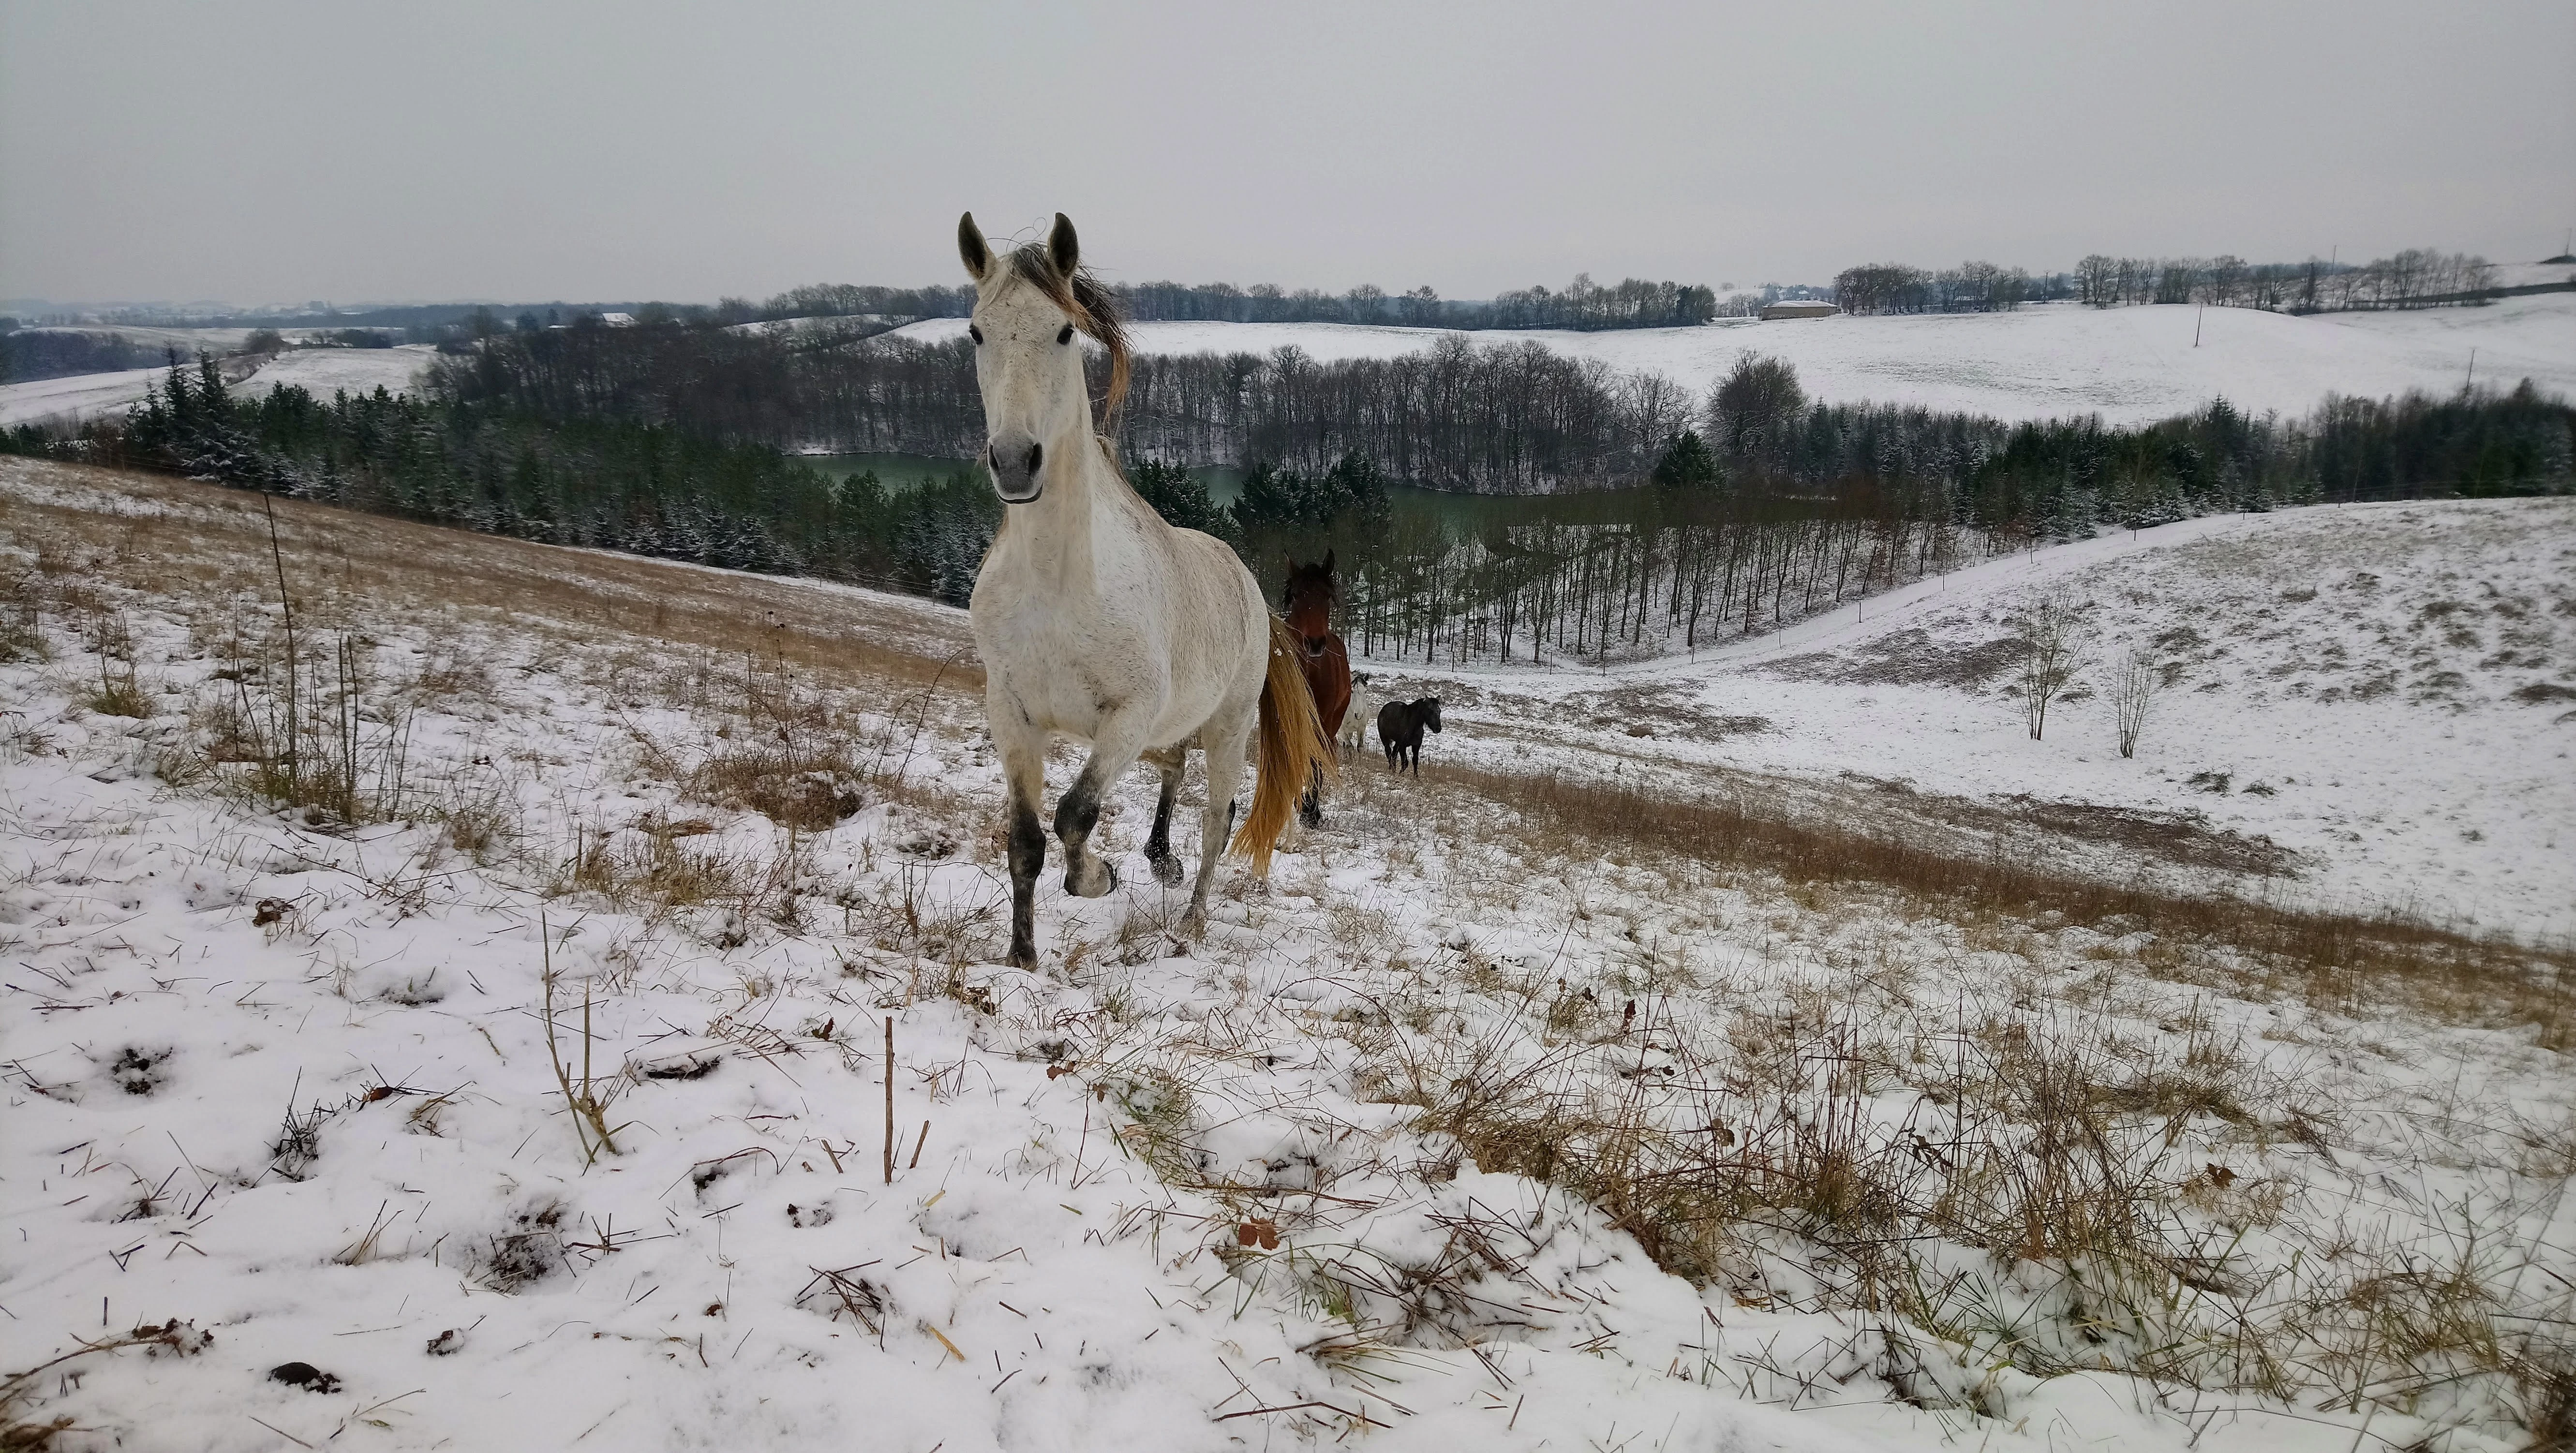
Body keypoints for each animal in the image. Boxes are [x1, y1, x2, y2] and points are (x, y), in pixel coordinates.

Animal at [957, 211, 1338, 969]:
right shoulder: (1012, 715)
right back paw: (1162, 861)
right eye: (978, 332)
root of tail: (1250, 587)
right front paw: (1021, 959)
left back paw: (1190, 920)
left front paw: (1099, 878)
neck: (1059, 584)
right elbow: (1025, 840)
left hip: (1226, 728)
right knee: (1174, 769)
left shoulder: (1127, 717)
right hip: (1170, 727)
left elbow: (1075, 814)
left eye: (1065, 331)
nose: (1015, 462)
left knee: (1217, 817)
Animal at [1282, 552, 1351, 826]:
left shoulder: (1322, 722)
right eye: (1296, 595)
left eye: (1327, 596)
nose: (1315, 643)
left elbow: (1315, 760)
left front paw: (1311, 810)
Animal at [1376, 698, 1442, 776]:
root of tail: (1384, 709)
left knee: (1394, 753)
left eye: (1439, 711)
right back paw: (1391, 769)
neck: (1413, 726)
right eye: (1430, 710)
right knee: (1389, 752)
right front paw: (1400, 775)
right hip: (1385, 738)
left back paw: (1393, 769)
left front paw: (1416, 777)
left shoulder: (1416, 745)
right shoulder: (1402, 746)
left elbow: (1415, 761)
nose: (1438, 729)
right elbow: (1405, 762)